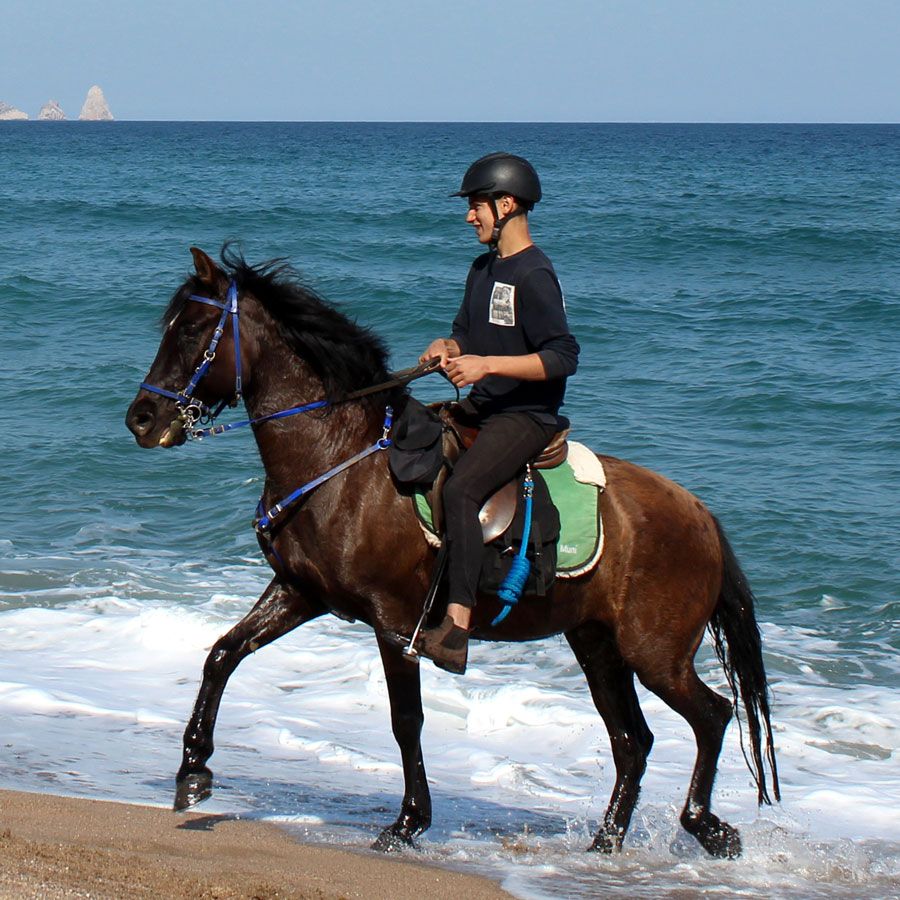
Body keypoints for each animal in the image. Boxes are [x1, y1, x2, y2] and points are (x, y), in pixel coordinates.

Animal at [126, 244, 780, 856]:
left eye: (192, 330)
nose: (142, 419)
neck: (339, 458)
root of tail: (701, 515)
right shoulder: (300, 593)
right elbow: (222, 655)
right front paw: (193, 771)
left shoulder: (394, 621)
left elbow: (405, 720)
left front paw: (407, 823)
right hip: (597, 644)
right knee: (633, 741)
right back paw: (607, 844)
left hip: (655, 652)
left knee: (713, 716)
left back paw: (707, 826)